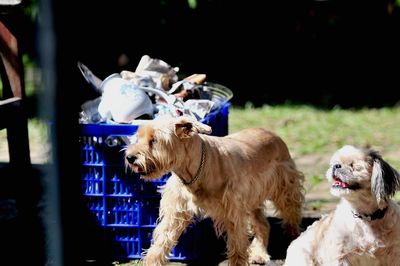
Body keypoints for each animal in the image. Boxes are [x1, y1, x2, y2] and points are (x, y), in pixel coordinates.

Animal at [125, 116, 304, 266]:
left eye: (154, 140)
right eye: (138, 137)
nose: (129, 157)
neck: (195, 170)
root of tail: (272, 134)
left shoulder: (233, 212)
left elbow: (237, 245)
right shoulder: (175, 211)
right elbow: (162, 241)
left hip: (285, 189)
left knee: (291, 216)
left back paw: (295, 240)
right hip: (252, 199)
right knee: (263, 225)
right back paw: (259, 253)